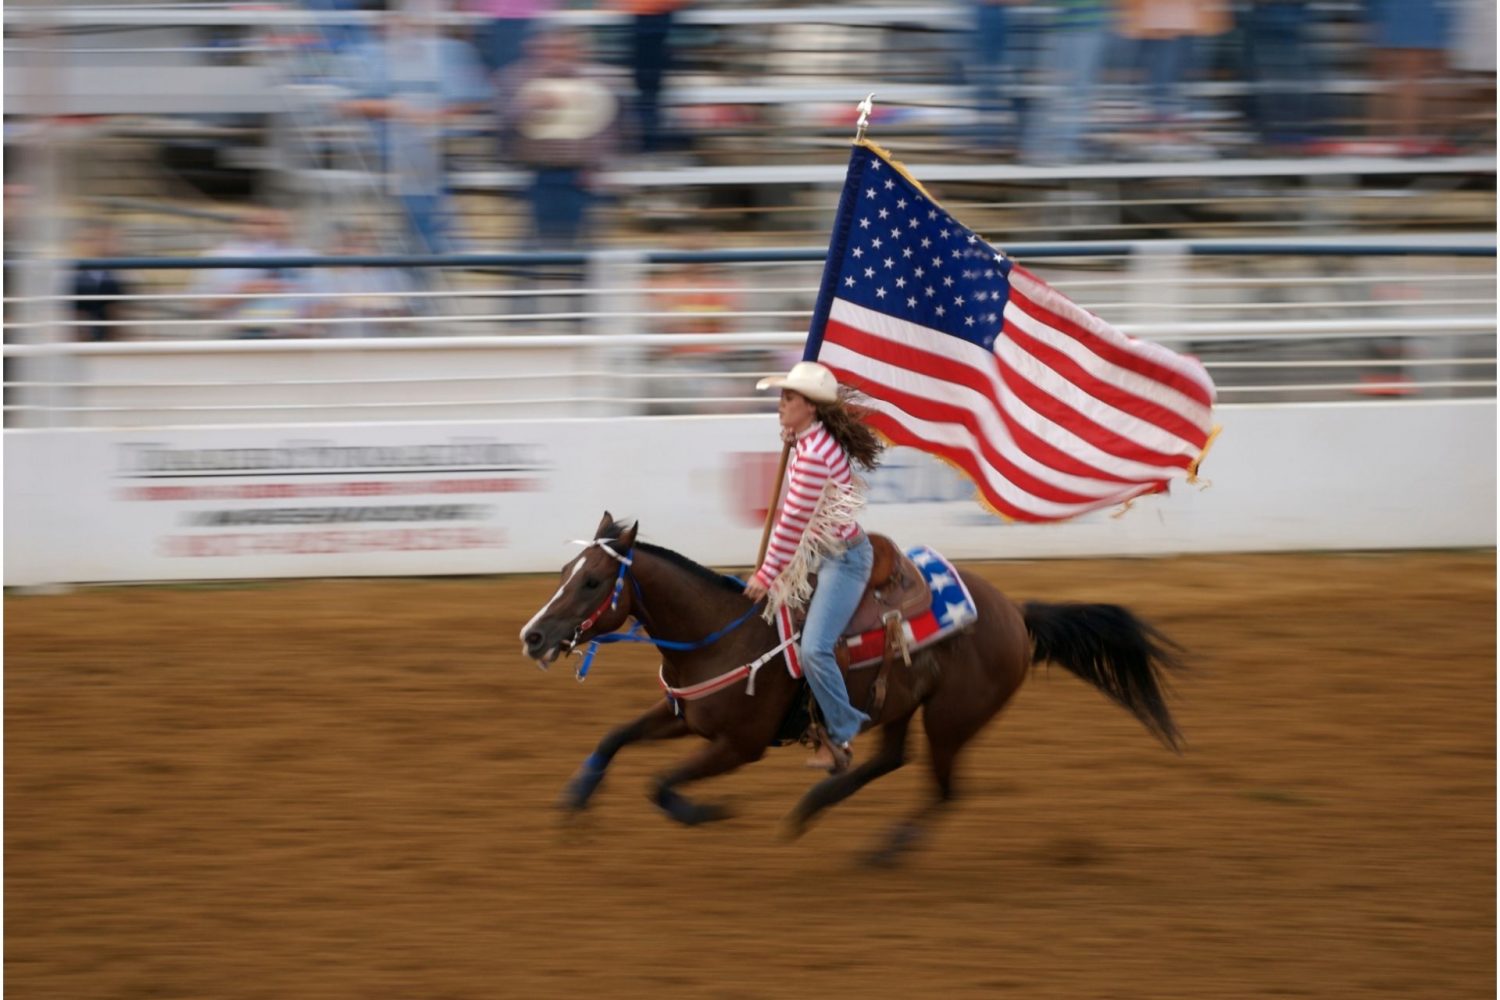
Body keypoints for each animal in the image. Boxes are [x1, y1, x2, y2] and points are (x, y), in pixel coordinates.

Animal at [519, 512, 1182, 863]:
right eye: (565, 572)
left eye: (594, 581)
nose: (532, 635)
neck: (719, 634)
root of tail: (1017, 614)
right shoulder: (682, 715)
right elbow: (613, 738)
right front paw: (575, 800)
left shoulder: (739, 746)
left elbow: (660, 784)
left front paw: (708, 811)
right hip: (901, 704)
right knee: (891, 759)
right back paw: (813, 807)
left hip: (952, 717)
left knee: (942, 789)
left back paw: (883, 849)